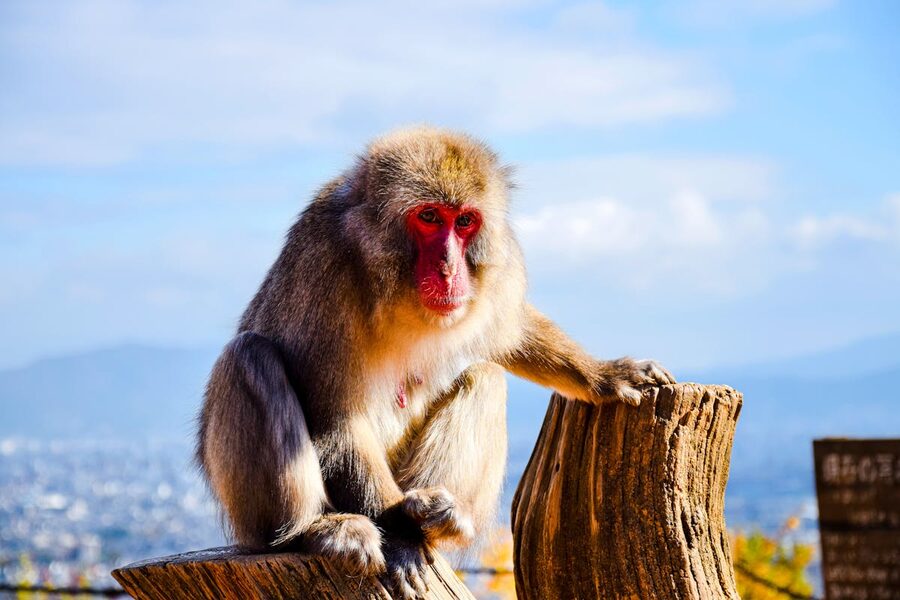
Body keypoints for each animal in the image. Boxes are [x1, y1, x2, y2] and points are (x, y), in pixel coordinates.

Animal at [196, 126, 675, 599]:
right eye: (428, 217)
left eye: (464, 221)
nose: (449, 268)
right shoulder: (321, 264)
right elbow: (333, 415)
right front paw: (399, 536)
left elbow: (508, 329)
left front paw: (604, 376)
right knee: (249, 358)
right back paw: (313, 529)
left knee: (485, 375)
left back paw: (439, 519)